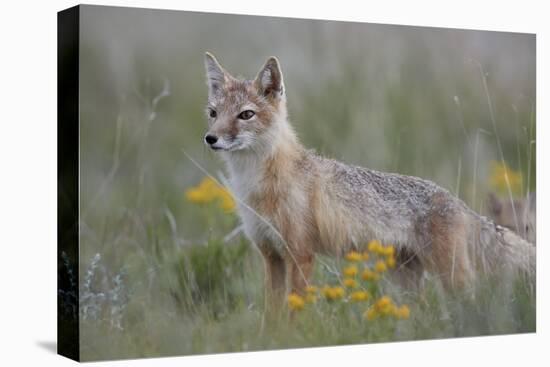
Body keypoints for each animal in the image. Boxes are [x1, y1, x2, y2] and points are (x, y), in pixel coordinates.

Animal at [202, 51, 536, 304]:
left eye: (246, 115)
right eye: (213, 113)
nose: (210, 138)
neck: (256, 185)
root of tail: (459, 202)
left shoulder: (301, 255)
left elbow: (294, 313)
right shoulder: (271, 256)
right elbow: (271, 319)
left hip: (452, 279)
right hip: (406, 281)